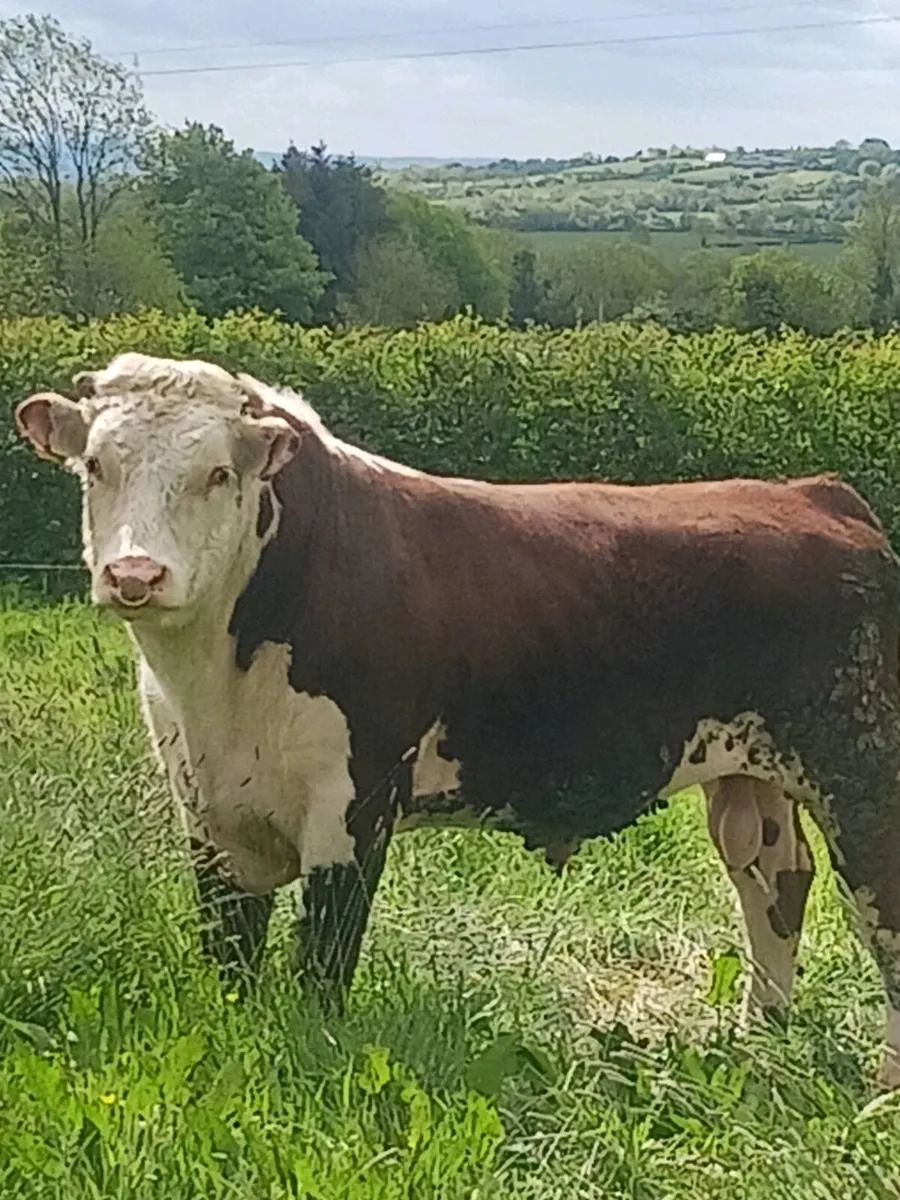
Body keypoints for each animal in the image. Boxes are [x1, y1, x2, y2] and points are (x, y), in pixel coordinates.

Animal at [14, 352, 900, 1089]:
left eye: (218, 473)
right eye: (96, 465)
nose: (135, 574)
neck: (217, 682)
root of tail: (813, 491)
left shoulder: (354, 806)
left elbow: (323, 962)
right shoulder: (208, 809)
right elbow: (229, 955)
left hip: (862, 770)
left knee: (879, 909)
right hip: (752, 773)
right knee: (775, 883)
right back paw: (760, 1039)